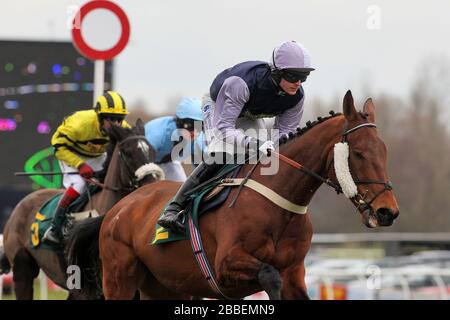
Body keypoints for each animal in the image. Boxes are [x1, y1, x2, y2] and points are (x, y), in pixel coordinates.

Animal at [68, 90, 400, 300]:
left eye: (384, 151)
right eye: (358, 153)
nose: (388, 211)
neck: (279, 204)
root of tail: (115, 211)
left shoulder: (295, 273)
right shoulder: (226, 266)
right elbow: (269, 276)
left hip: (163, 286)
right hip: (119, 278)